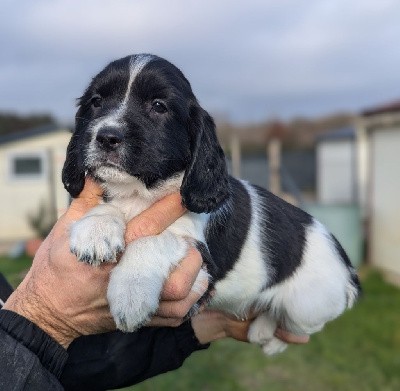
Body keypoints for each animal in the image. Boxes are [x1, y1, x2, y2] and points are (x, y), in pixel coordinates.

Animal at [61, 53, 360, 356]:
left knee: (300, 326)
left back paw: (271, 338)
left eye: (158, 106)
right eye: (96, 102)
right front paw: (96, 229)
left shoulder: (203, 264)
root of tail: (347, 266)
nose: (106, 136)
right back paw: (262, 328)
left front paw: (131, 292)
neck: (139, 193)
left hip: (307, 305)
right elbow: (108, 208)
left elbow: (156, 239)